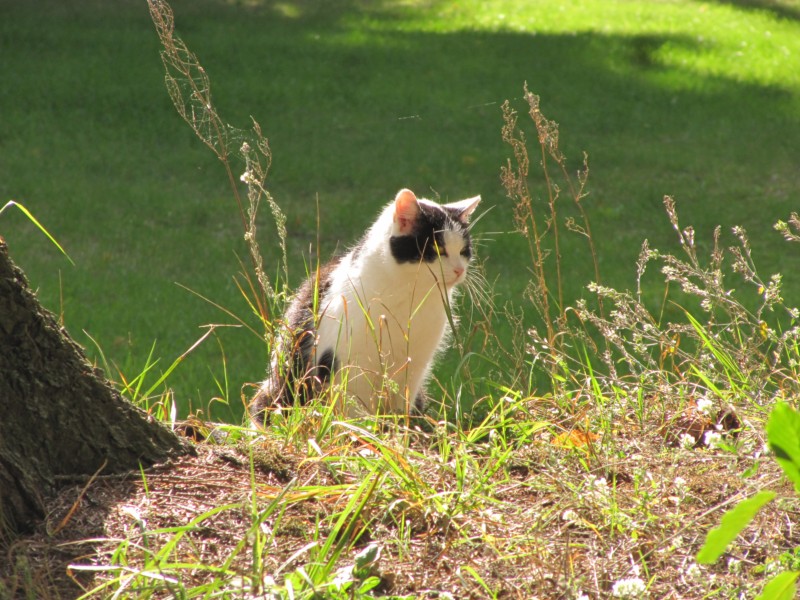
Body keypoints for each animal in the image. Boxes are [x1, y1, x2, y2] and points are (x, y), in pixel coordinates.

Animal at [247, 188, 478, 422]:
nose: (459, 270)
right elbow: (354, 414)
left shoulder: (414, 366)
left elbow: (400, 407)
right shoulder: (347, 364)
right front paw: (363, 429)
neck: (409, 297)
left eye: (464, 251)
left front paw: (397, 427)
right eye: (437, 248)